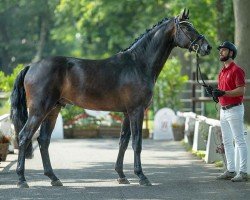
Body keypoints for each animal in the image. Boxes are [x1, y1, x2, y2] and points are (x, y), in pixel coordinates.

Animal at [11, 9, 211, 188]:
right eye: (186, 27)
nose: (207, 47)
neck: (138, 64)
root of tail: (31, 66)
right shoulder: (137, 111)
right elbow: (137, 143)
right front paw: (142, 176)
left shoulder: (127, 113)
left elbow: (123, 141)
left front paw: (122, 176)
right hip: (39, 110)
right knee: (24, 136)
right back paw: (22, 180)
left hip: (53, 110)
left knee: (43, 140)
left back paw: (54, 178)